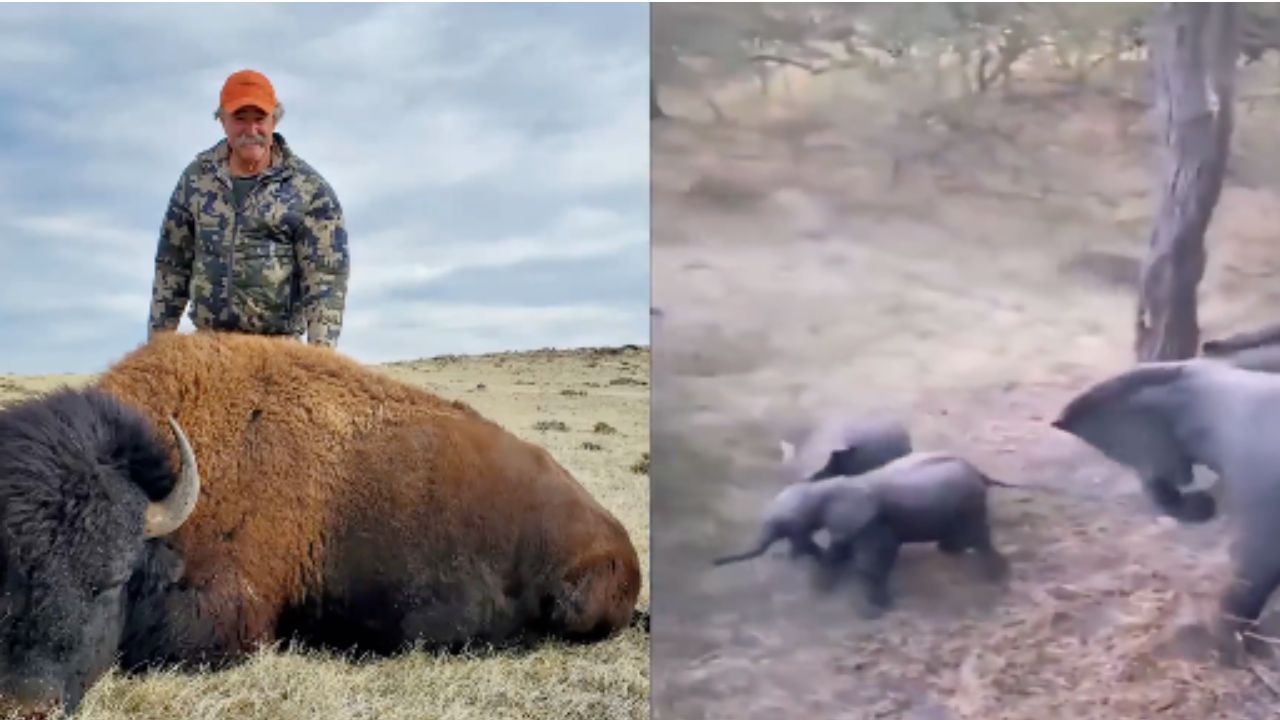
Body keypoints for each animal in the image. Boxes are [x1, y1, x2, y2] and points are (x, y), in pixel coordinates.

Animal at [714, 452, 1011, 613]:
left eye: (783, 524)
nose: (714, 562)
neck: (824, 488)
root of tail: (980, 473)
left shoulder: (870, 521)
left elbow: (874, 558)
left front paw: (873, 611)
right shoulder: (849, 522)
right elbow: (840, 548)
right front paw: (823, 587)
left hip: (970, 504)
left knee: (979, 536)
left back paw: (995, 577)